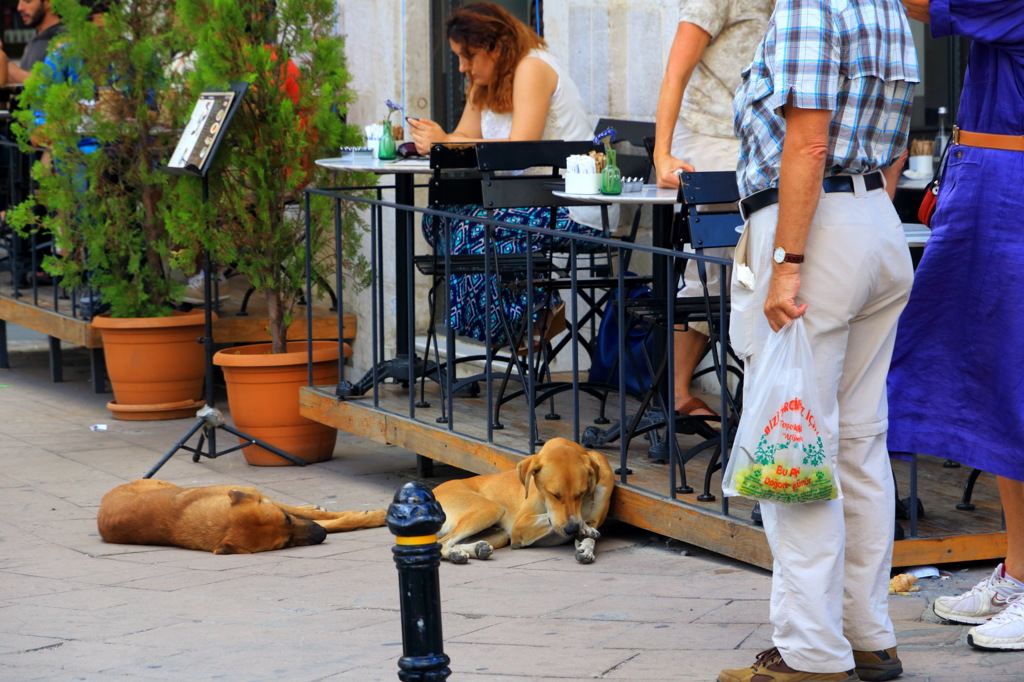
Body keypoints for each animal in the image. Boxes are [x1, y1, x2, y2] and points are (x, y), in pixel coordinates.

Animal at [97, 477, 385, 552]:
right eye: (285, 544)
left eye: (286, 520)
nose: (321, 534)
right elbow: (341, 521)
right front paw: (375, 516)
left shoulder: (268, 500)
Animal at [428, 436, 610, 561]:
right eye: (554, 494)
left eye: (580, 493)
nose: (572, 529)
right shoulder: (520, 526)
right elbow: (549, 518)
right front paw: (585, 528)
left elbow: (587, 536)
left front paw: (586, 545)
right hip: (491, 509)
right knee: (443, 542)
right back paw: (455, 553)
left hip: (499, 534)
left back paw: (475, 549)